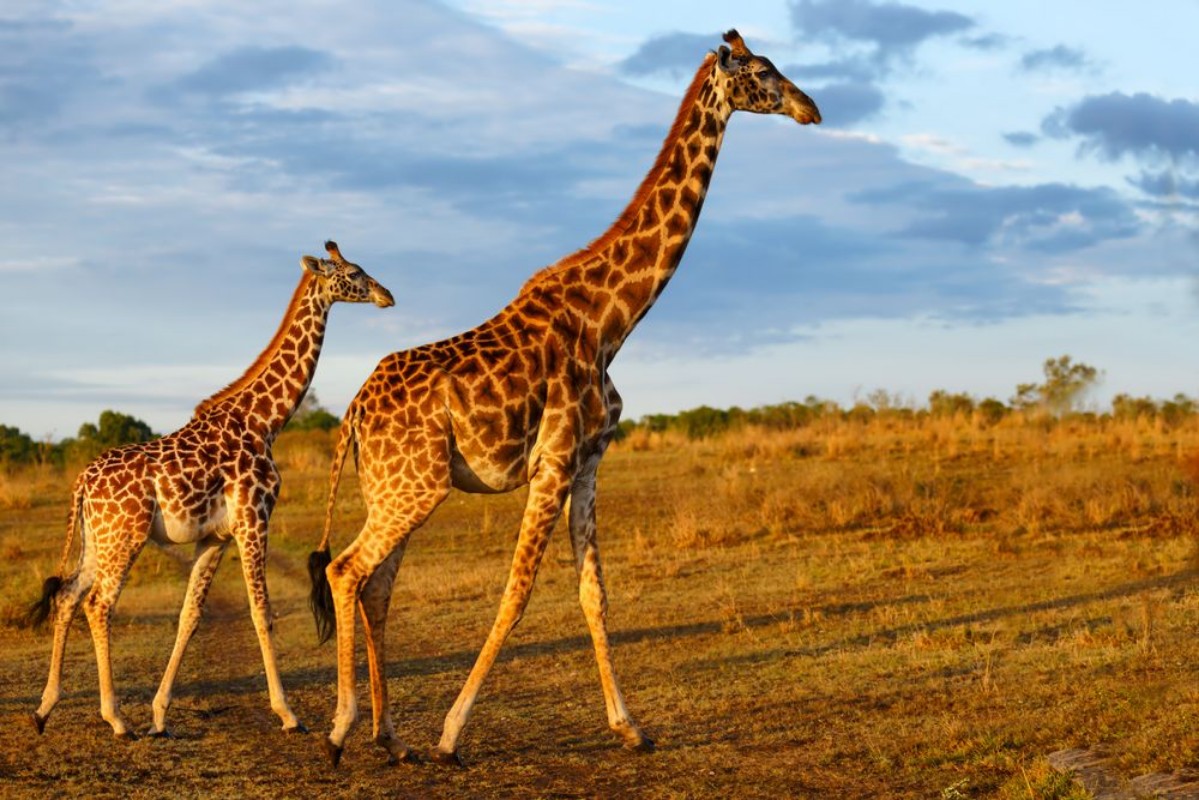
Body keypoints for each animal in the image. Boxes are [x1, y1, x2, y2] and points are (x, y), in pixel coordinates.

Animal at [23, 241, 394, 740]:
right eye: (354, 272)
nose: (386, 295)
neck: (265, 421)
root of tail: (82, 482)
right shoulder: (254, 518)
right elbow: (262, 612)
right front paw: (288, 714)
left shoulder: (215, 536)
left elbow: (190, 616)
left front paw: (160, 715)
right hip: (125, 536)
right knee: (98, 605)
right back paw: (115, 718)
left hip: (97, 539)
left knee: (66, 596)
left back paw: (45, 708)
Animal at [307, 30, 820, 767]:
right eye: (761, 70)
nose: (811, 108)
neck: (610, 321)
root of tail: (350, 413)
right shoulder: (552, 462)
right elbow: (517, 593)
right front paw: (453, 734)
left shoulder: (588, 462)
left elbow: (593, 594)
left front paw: (630, 727)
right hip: (415, 488)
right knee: (348, 570)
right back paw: (343, 728)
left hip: (397, 486)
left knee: (375, 583)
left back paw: (389, 734)